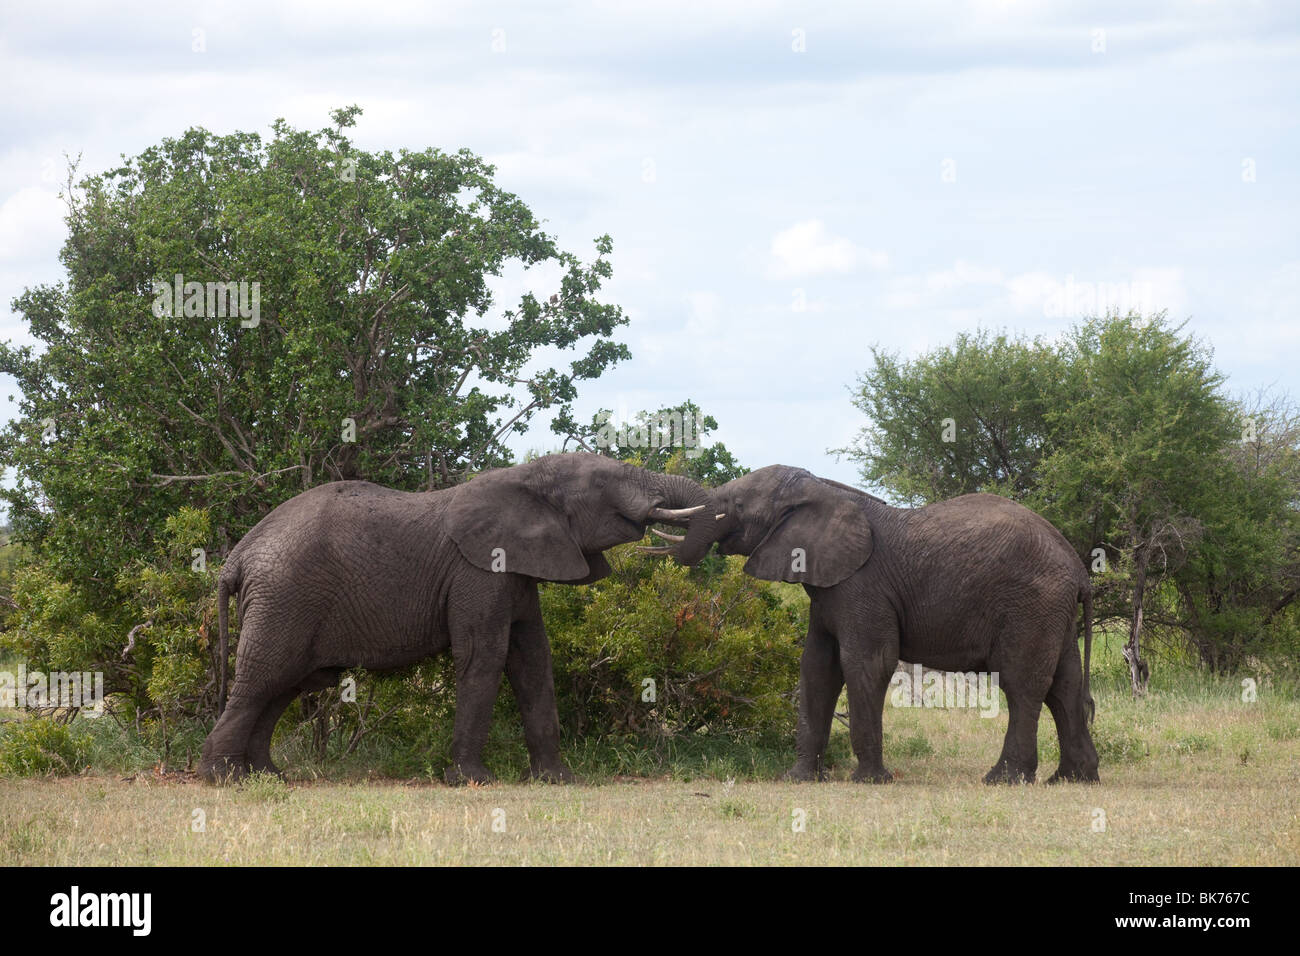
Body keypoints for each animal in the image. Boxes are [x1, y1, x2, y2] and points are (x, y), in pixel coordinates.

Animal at [197, 455, 717, 785]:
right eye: (605, 484)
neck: (524, 477)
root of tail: (236, 557)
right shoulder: (480, 571)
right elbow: (485, 656)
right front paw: (472, 781)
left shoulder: (516, 573)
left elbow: (533, 660)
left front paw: (557, 780)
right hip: (283, 597)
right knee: (262, 678)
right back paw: (222, 778)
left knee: (285, 686)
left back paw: (267, 776)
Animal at [650, 463, 1097, 785]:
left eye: (738, 504)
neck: (821, 490)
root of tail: (1080, 570)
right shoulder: (827, 588)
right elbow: (817, 669)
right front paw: (798, 779)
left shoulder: (862, 585)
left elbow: (867, 663)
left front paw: (869, 780)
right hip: (1052, 610)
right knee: (1064, 686)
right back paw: (1073, 779)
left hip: (1031, 604)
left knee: (1022, 685)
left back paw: (1003, 780)